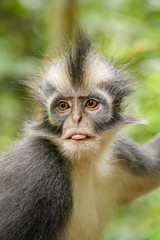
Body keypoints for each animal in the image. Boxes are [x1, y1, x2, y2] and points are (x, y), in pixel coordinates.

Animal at [0, 31, 160, 240]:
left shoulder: (121, 152)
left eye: (91, 103)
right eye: (63, 106)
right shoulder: (37, 170)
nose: (76, 119)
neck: (81, 164)